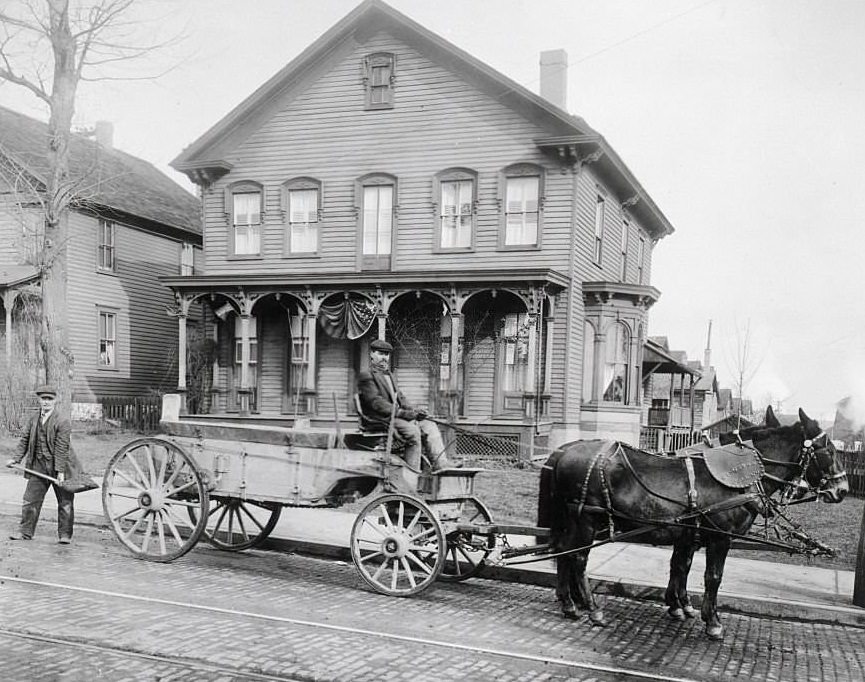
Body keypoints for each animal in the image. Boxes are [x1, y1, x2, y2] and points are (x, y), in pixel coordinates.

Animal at [536, 406, 848, 636]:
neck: (741, 477)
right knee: (577, 558)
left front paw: (680, 606)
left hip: (572, 521)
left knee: (563, 552)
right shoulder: (720, 537)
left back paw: (569, 603)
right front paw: (712, 621)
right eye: (830, 451)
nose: (842, 489)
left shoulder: (688, 534)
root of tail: (563, 452)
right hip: (587, 519)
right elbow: (712, 577)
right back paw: (592, 608)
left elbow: (681, 566)